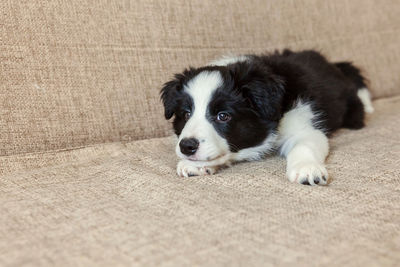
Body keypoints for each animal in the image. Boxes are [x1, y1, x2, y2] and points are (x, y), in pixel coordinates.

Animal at [159, 49, 372, 185]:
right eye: (186, 114)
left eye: (223, 116)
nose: (187, 147)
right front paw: (196, 164)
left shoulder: (306, 125)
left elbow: (303, 145)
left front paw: (307, 168)